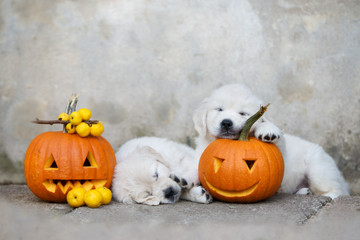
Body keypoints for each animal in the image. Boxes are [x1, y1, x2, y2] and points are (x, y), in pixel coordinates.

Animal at [194, 83, 348, 200]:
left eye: (243, 113)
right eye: (219, 109)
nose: (226, 123)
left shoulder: (281, 154)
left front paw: (266, 129)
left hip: (319, 167)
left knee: (337, 190)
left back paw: (328, 196)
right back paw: (304, 192)